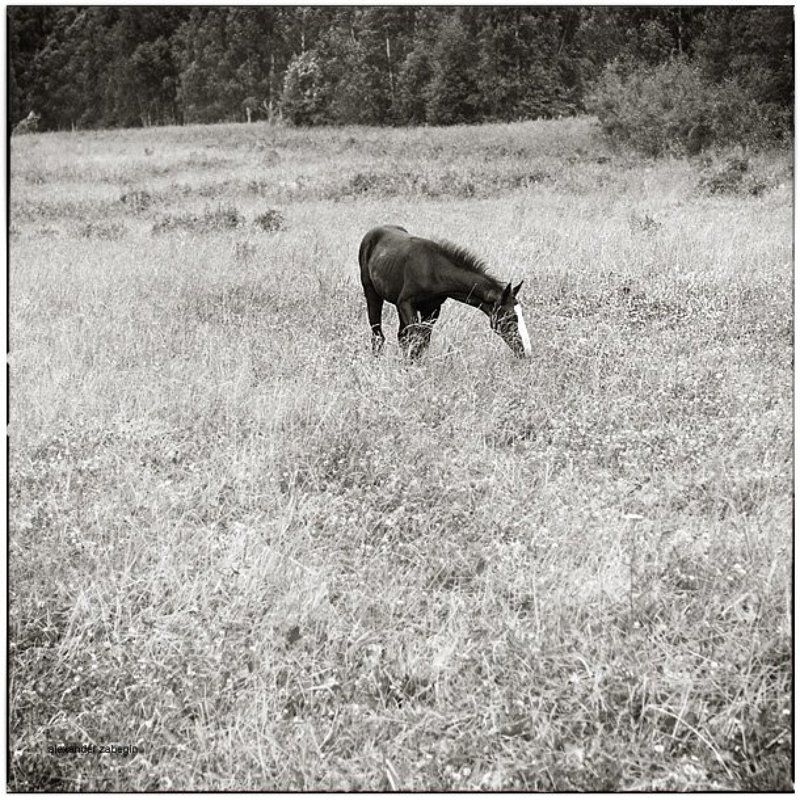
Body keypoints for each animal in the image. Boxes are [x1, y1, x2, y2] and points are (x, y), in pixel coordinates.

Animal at [359, 225, 532, 359]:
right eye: (510, 317)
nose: (526, 352)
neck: (433, 269)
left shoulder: (432, 310)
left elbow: (422, 342)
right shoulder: (406, 304)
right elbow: (415, 340)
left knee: (400, 336)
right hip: (372, 294)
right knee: (378, 334)